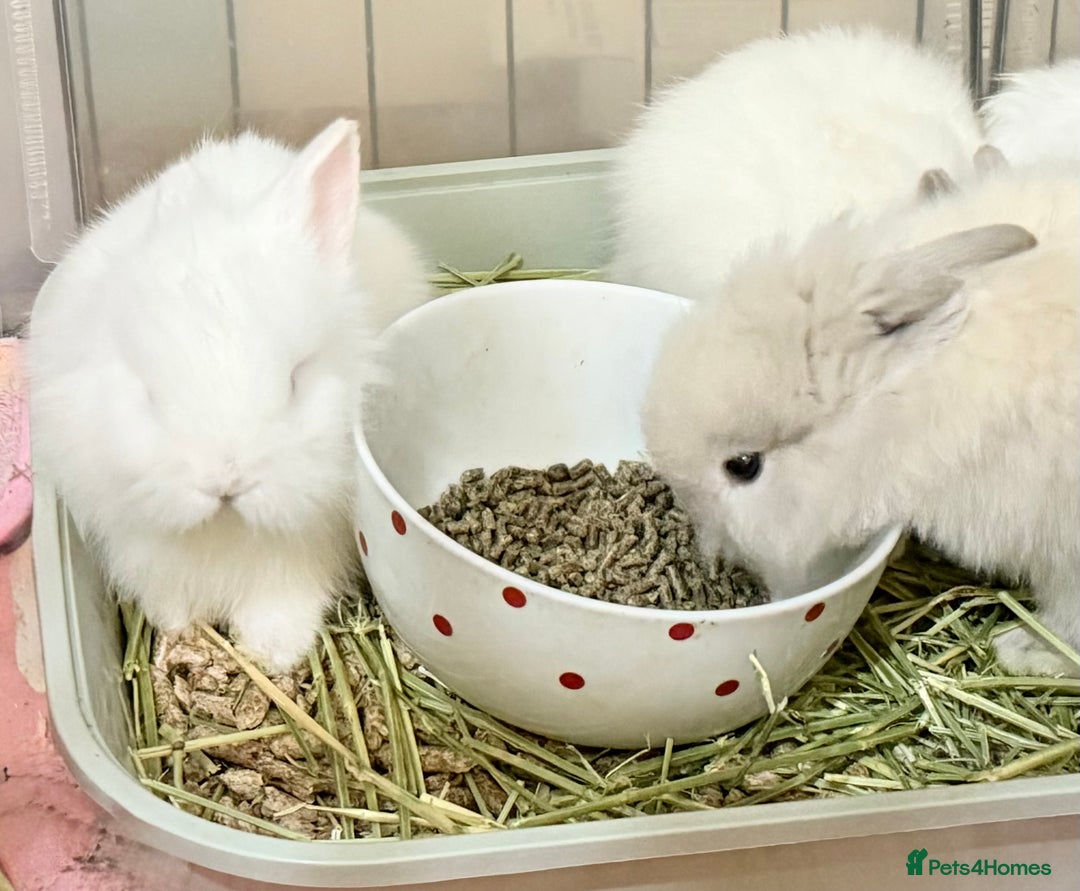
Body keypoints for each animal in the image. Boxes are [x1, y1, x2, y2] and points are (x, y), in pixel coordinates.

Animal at [27, 119, 431, 673]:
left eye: (295, 380)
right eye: (149, 394)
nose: (225, 483)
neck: (228, 533)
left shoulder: (297, 563)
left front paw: (274, 654)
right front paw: (176, 625)